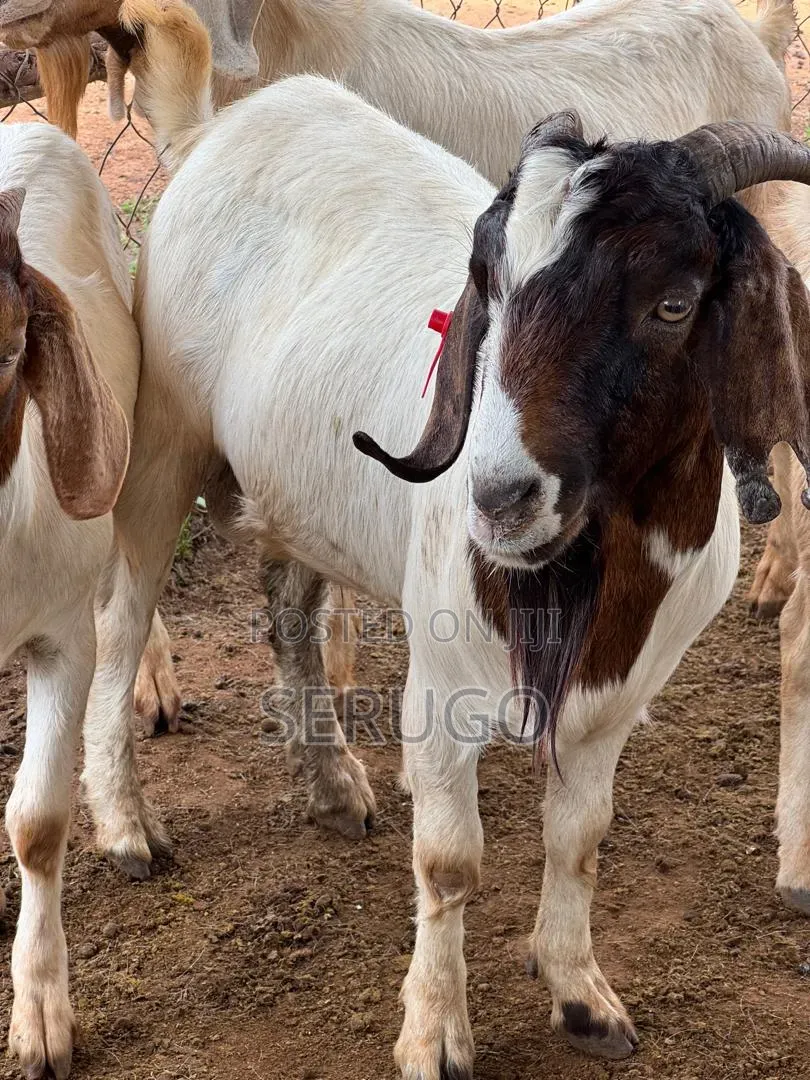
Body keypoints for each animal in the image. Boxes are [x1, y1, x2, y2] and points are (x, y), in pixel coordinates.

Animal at [79, 1, 810, 1075]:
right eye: (489, 292)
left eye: (673, 304)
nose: (499, 498)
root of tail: (218, 126)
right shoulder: (442, 688)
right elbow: (450, 862)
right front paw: (433, 1033)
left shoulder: (617, 700)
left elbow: (579, 839)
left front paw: (583, 997)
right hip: (162, 441)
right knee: (121, 618)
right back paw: (128, 827)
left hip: (302, 491)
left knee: (288, 609)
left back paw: (332, 786)